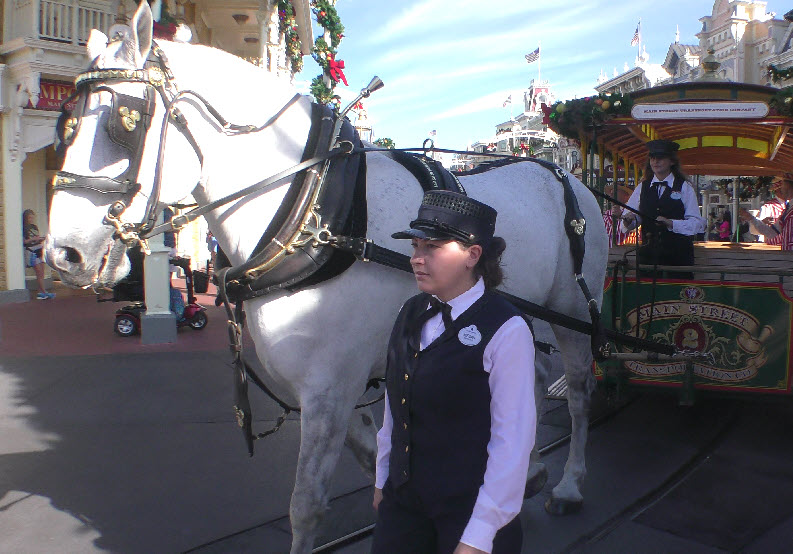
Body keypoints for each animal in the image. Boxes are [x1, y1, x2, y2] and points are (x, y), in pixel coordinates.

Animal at [43, 3, 608, 548]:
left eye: (126, 122)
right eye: (65, 125)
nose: (61, 254)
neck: (313, 211)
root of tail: (564, 173)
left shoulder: (329, 388)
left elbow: (307, 505)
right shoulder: (333, 387)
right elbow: (375, 461)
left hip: (572, 309)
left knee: (580, 391)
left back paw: (570, 485)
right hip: (520, 314)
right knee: (532, 377)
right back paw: (528, 474)